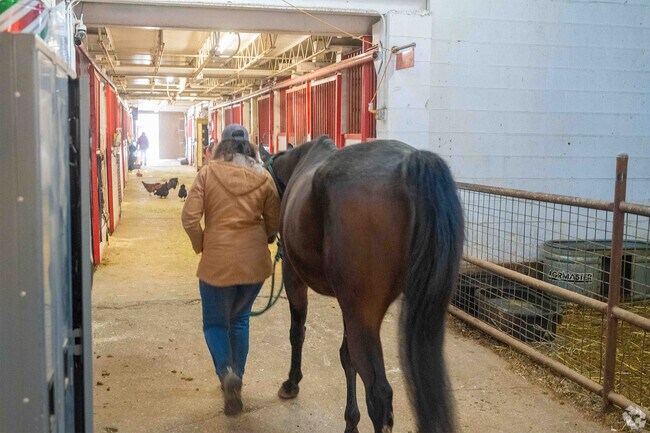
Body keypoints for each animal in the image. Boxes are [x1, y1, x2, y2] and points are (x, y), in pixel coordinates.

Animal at [265, 136, 464, 433]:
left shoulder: (294, 277)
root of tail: (411, 164)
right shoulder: (347, 305)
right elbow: (346, 358)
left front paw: (291, 383)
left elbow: (297, 332)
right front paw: (351, 421)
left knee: (379, 395)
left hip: (363, 316)